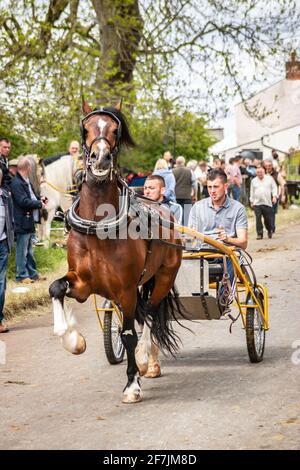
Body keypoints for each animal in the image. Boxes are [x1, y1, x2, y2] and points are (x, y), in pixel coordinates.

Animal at [49, 100, 184, 404]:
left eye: (115, 130)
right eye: (86, 128)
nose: (100, 158)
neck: (99, 225)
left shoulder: (125, 288)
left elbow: (128, 335)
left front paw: (132, 384)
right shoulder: (83, 283)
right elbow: (55, 288)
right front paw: (72, 339)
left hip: (163, 277)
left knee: (150, 314)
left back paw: (147, 360)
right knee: (143, 315)